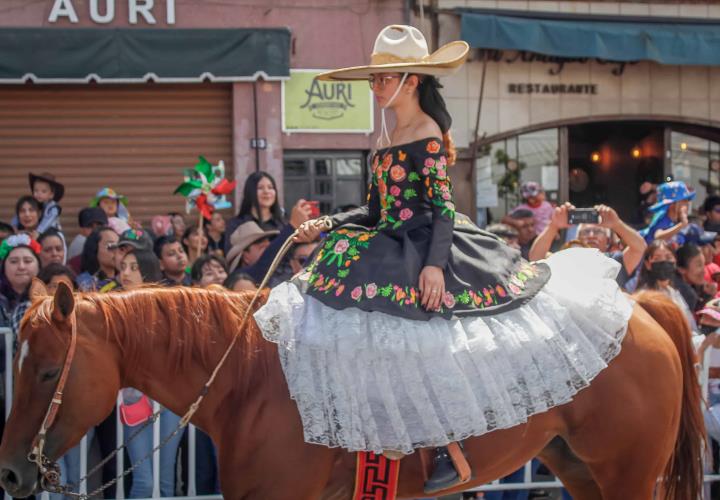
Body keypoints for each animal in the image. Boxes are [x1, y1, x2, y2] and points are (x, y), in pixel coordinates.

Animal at [0, 284, 704, 498]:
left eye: (47, 371)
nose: (9, 472)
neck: (250, 379)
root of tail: (640, 306)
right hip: (578, 469)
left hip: (629, 474)